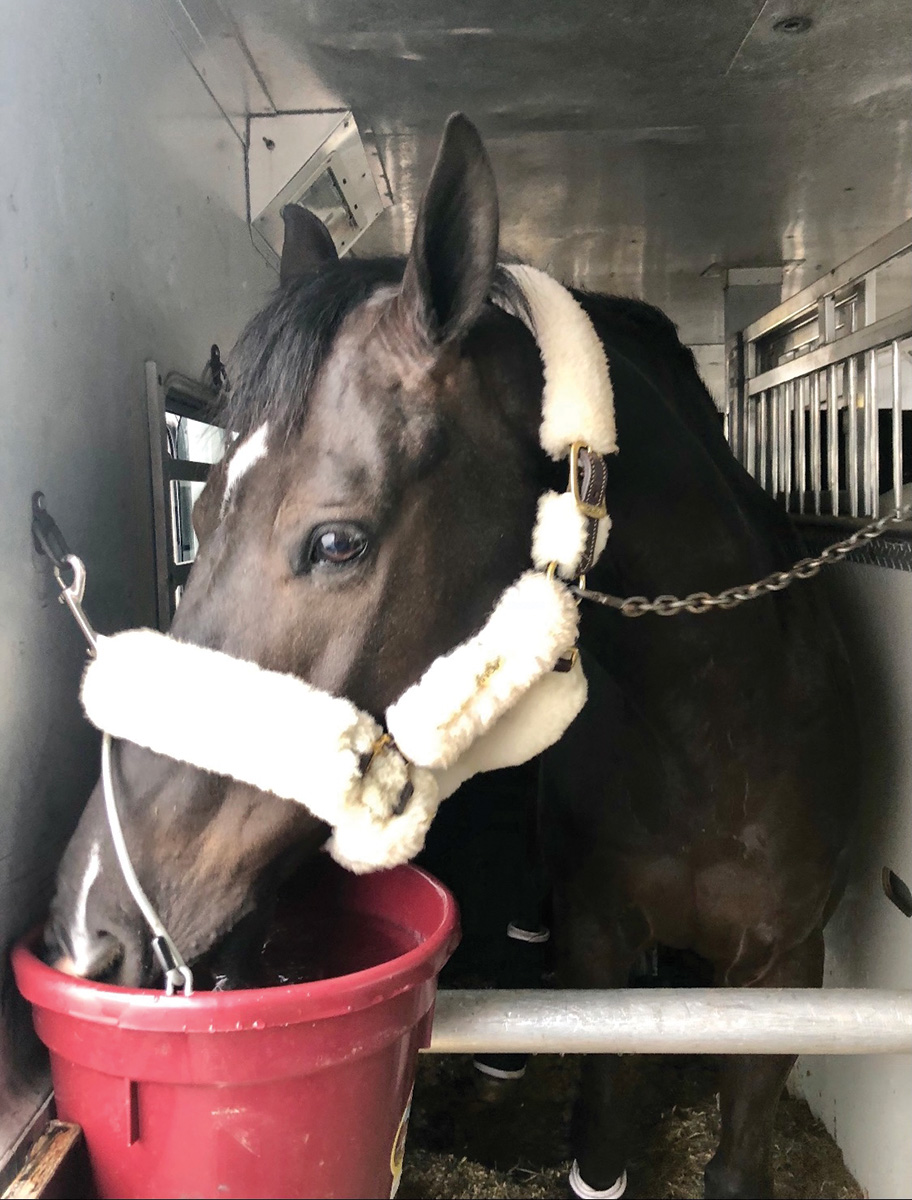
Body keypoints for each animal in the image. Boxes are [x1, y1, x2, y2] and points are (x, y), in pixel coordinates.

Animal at [46, 114, 859, 1200]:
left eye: (336, 541)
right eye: (203, 513)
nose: (90, 925)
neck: (718, 724)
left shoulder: (786, 970)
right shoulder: (603, 953)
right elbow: (601, 1139)